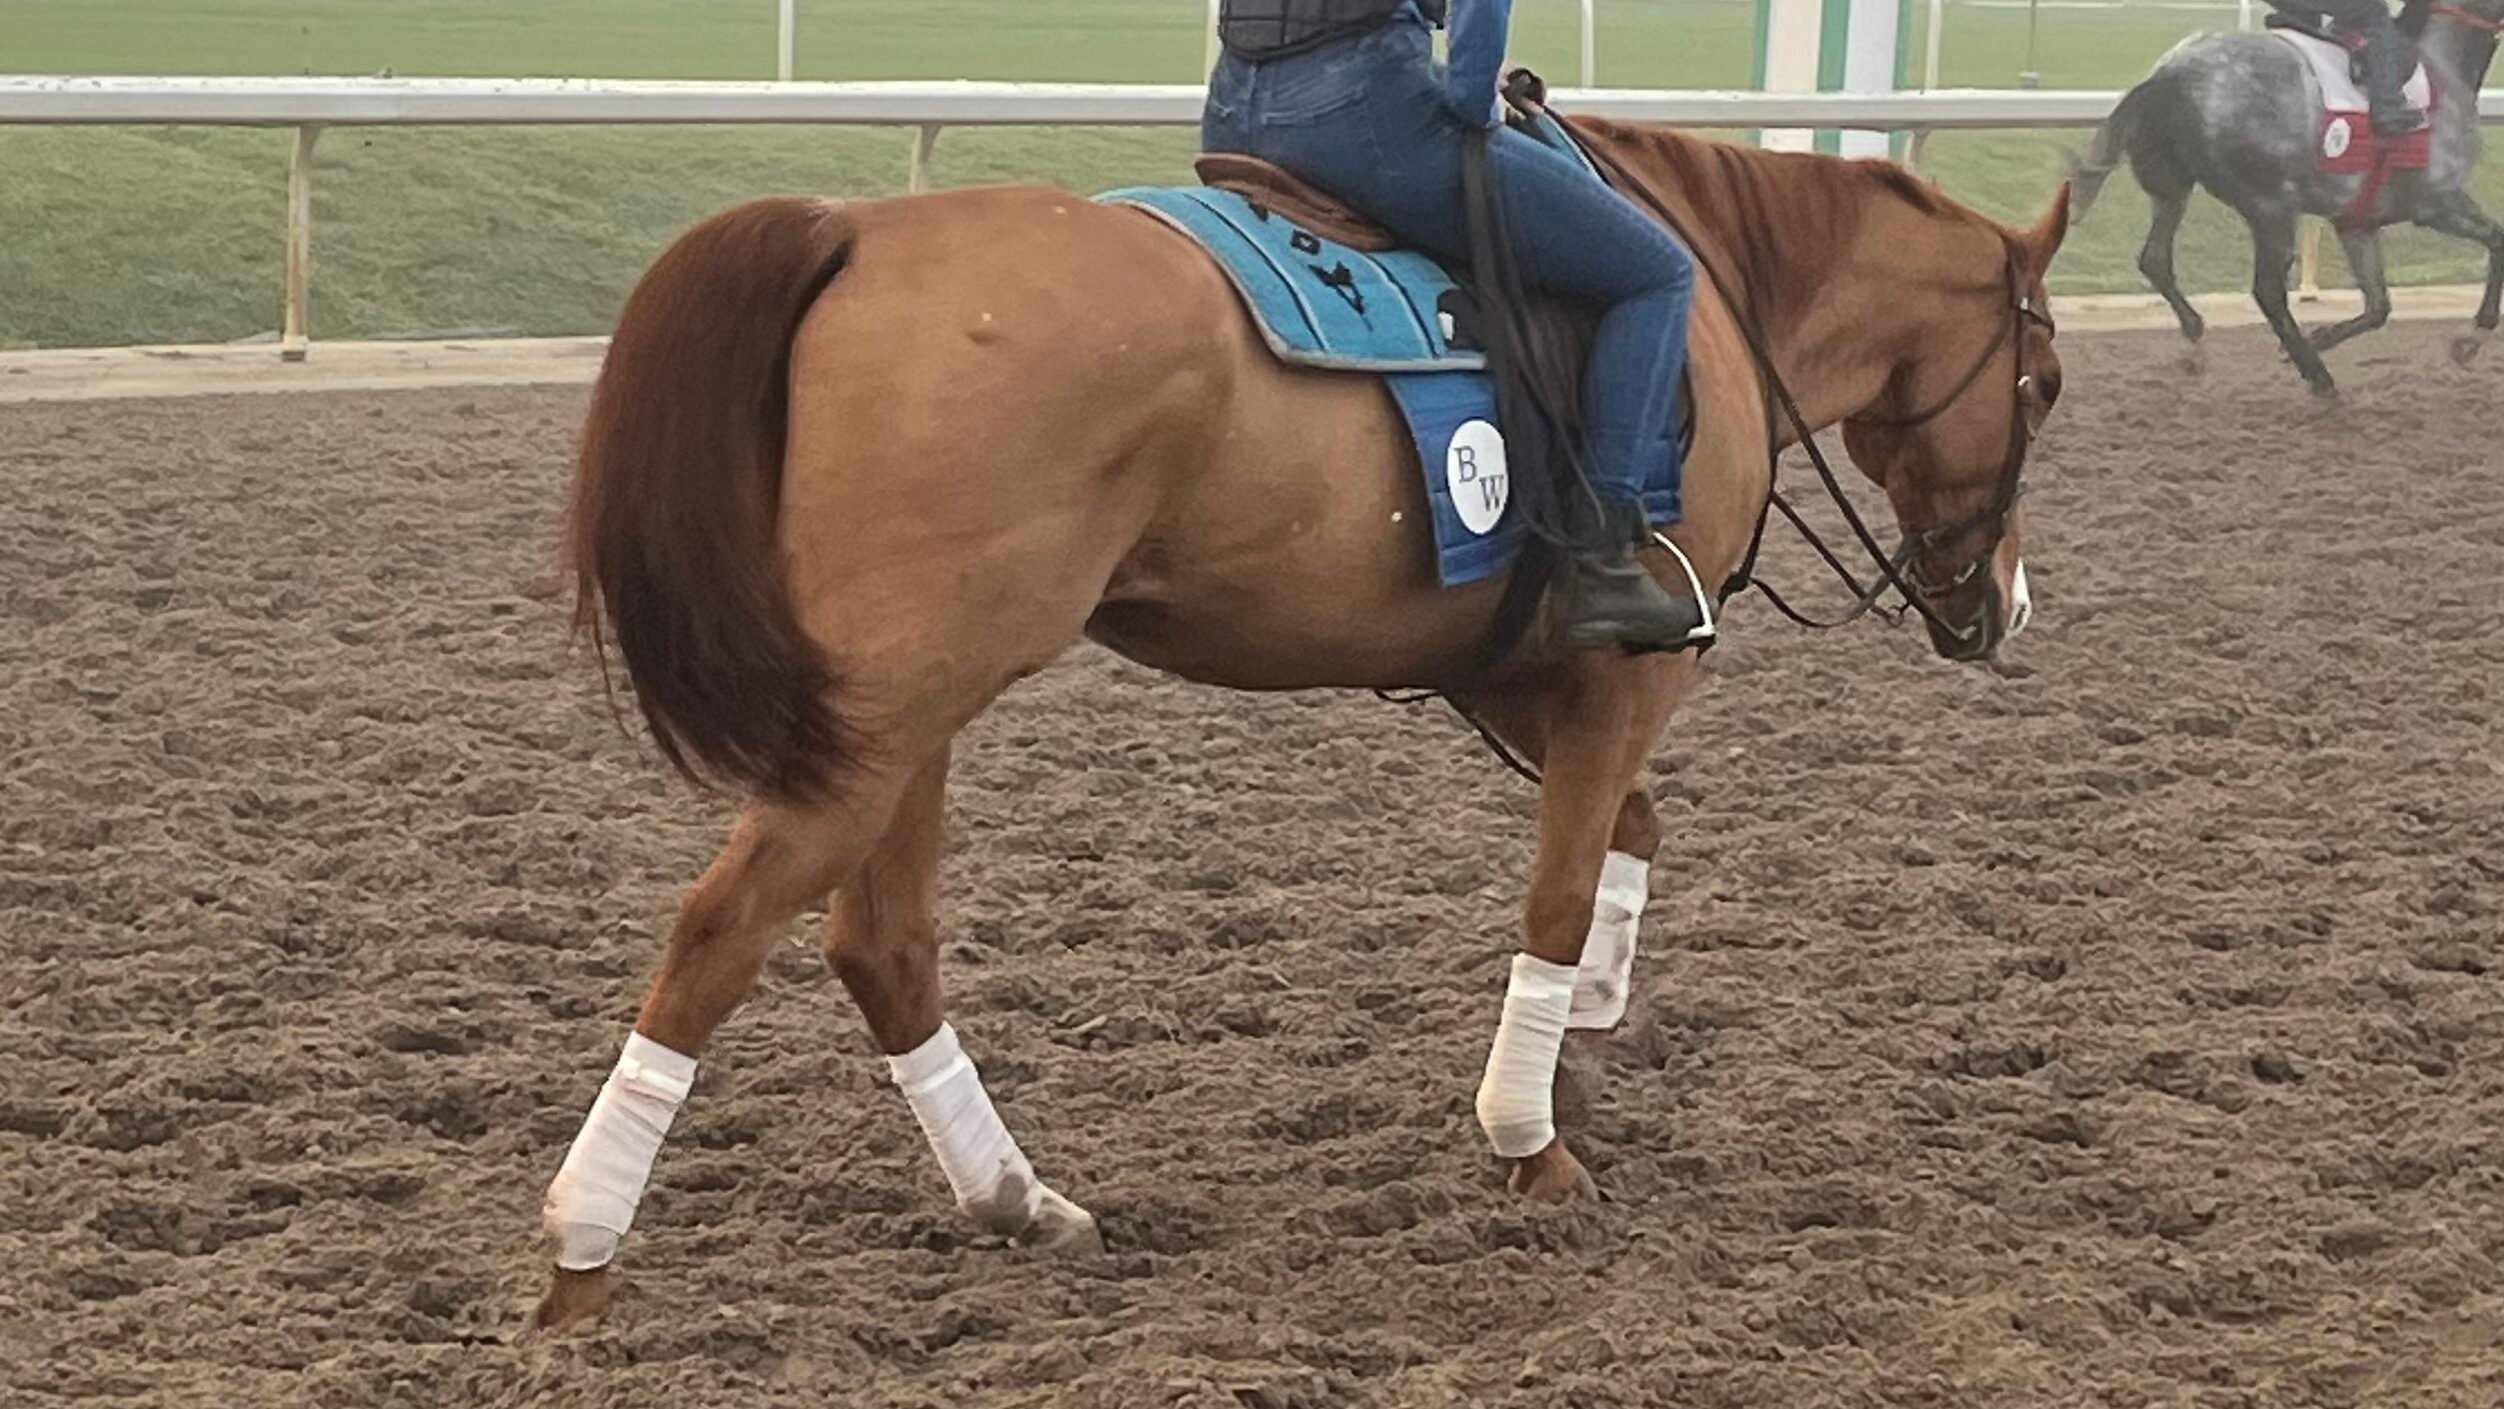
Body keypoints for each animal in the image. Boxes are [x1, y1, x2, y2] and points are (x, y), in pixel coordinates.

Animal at [528, 113, 2073, 1331]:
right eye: (2043, 385)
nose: (1999, 606)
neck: (1704, 299)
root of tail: (854, 233)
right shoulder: (1627, 672)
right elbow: (1564, 889)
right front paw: (1530, 1138)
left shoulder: (1527, 678)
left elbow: (1624, 837)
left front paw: (1586, 1034)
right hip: (890, 716)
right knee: (721, 934)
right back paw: (583, 1251)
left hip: (900, 720)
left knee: (881, 946)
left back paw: (1018, 1199)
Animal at [2073, 0, 2504, 390]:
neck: (2442, 60)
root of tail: (2169, 74)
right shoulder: (2437, 201)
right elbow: (2497, 239)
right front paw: (2472, 339)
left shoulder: (2357, 222)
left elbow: (2379, 306)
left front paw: (2322, 337)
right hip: (2271, 205)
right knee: (2267, 289)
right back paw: (2318, 378)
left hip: (2172, 187)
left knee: (2155, 260)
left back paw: (2198, 338)